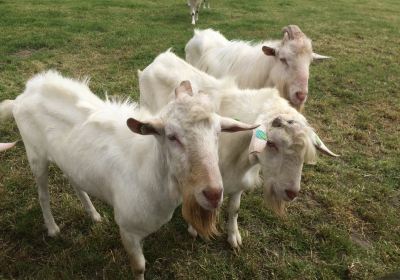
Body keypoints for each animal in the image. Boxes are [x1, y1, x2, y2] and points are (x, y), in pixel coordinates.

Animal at [0, 70, 255, 278]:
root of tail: (23, 95)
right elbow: (139, 267)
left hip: (68, 159)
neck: (147, 171)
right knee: (43, 194)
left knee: (75, 181)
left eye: (218, 132)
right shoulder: (127, 229)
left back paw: (93, 214)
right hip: (36, 155)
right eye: (171, 136)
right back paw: (53, 229)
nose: (213, 193)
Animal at [138, 51, 338, 248]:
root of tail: (162, 57)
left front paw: (233, 237)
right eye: (271, 143)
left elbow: (234, 209)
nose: (291, 193)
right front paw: (194, 229)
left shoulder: (237, 181)